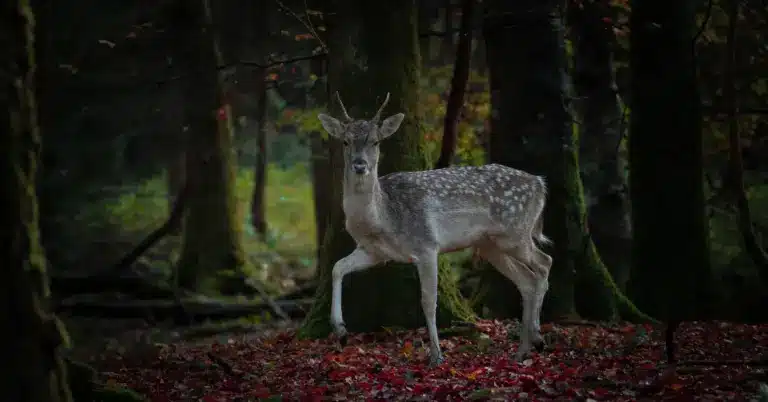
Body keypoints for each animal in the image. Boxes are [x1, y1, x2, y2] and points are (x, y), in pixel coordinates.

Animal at [317, 92, 553, 367]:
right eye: (345, 141)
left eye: (375, 142)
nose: (359, 165)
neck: (383, 219)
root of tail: (540, 184)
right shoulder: (373, 251)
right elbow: (337, 267)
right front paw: (340, 331)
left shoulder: (427, 245)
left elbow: (428, 301)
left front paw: (436, 355)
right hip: (490, 245)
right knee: (527, 280)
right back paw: (523, 349)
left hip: (516, 233)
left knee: (543, 263)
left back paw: (537, 337)